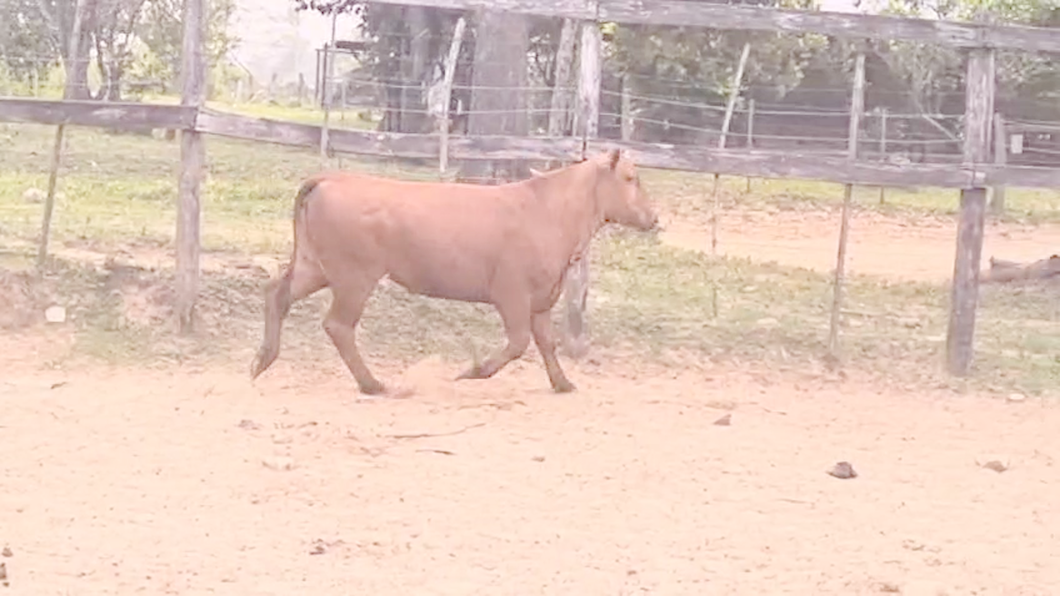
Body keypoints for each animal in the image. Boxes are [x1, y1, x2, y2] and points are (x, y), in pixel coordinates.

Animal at [252, 146, 657, 392]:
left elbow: (546, 341)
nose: (653, 217)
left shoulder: (542, 298)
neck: (547, 208)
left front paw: (563, 384)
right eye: (630, 178)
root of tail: (332, 178)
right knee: (338, 325)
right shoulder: (511, 293)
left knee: (277, 293)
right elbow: (519, 342)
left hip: (315, 267)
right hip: (355, 277)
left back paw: (262, 360)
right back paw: (373, 385)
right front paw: (472, 372)